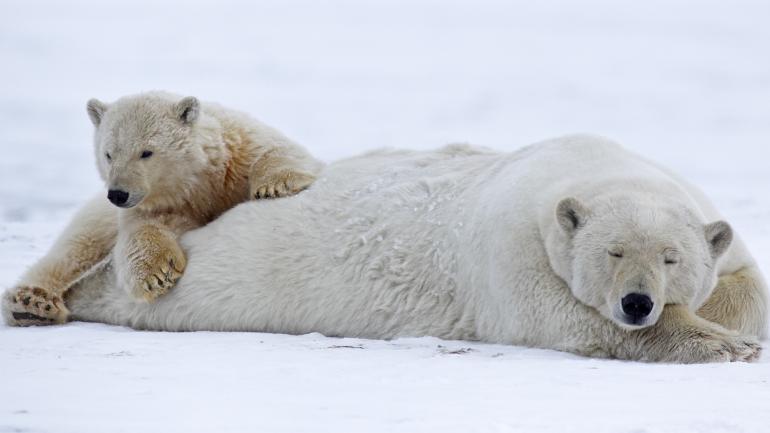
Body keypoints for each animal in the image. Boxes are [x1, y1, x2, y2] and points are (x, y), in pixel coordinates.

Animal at [9, 134, 764, 362]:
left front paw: (727, 326)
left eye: (670, 258)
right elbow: (562, 318)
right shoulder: (510, 249)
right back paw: (43, 296)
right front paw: (718, 343)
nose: (638, 302)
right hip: (176, 217)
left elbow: (748, 283)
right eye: (612, 253)